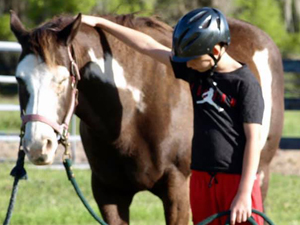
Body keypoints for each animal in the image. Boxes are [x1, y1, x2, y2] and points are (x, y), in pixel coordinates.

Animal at [10, 11, 284, 225]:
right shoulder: (109, 193)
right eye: (19, 79)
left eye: (62, 79)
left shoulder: (178, 191)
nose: (37, 146)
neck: (132, 116)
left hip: (259, 174)